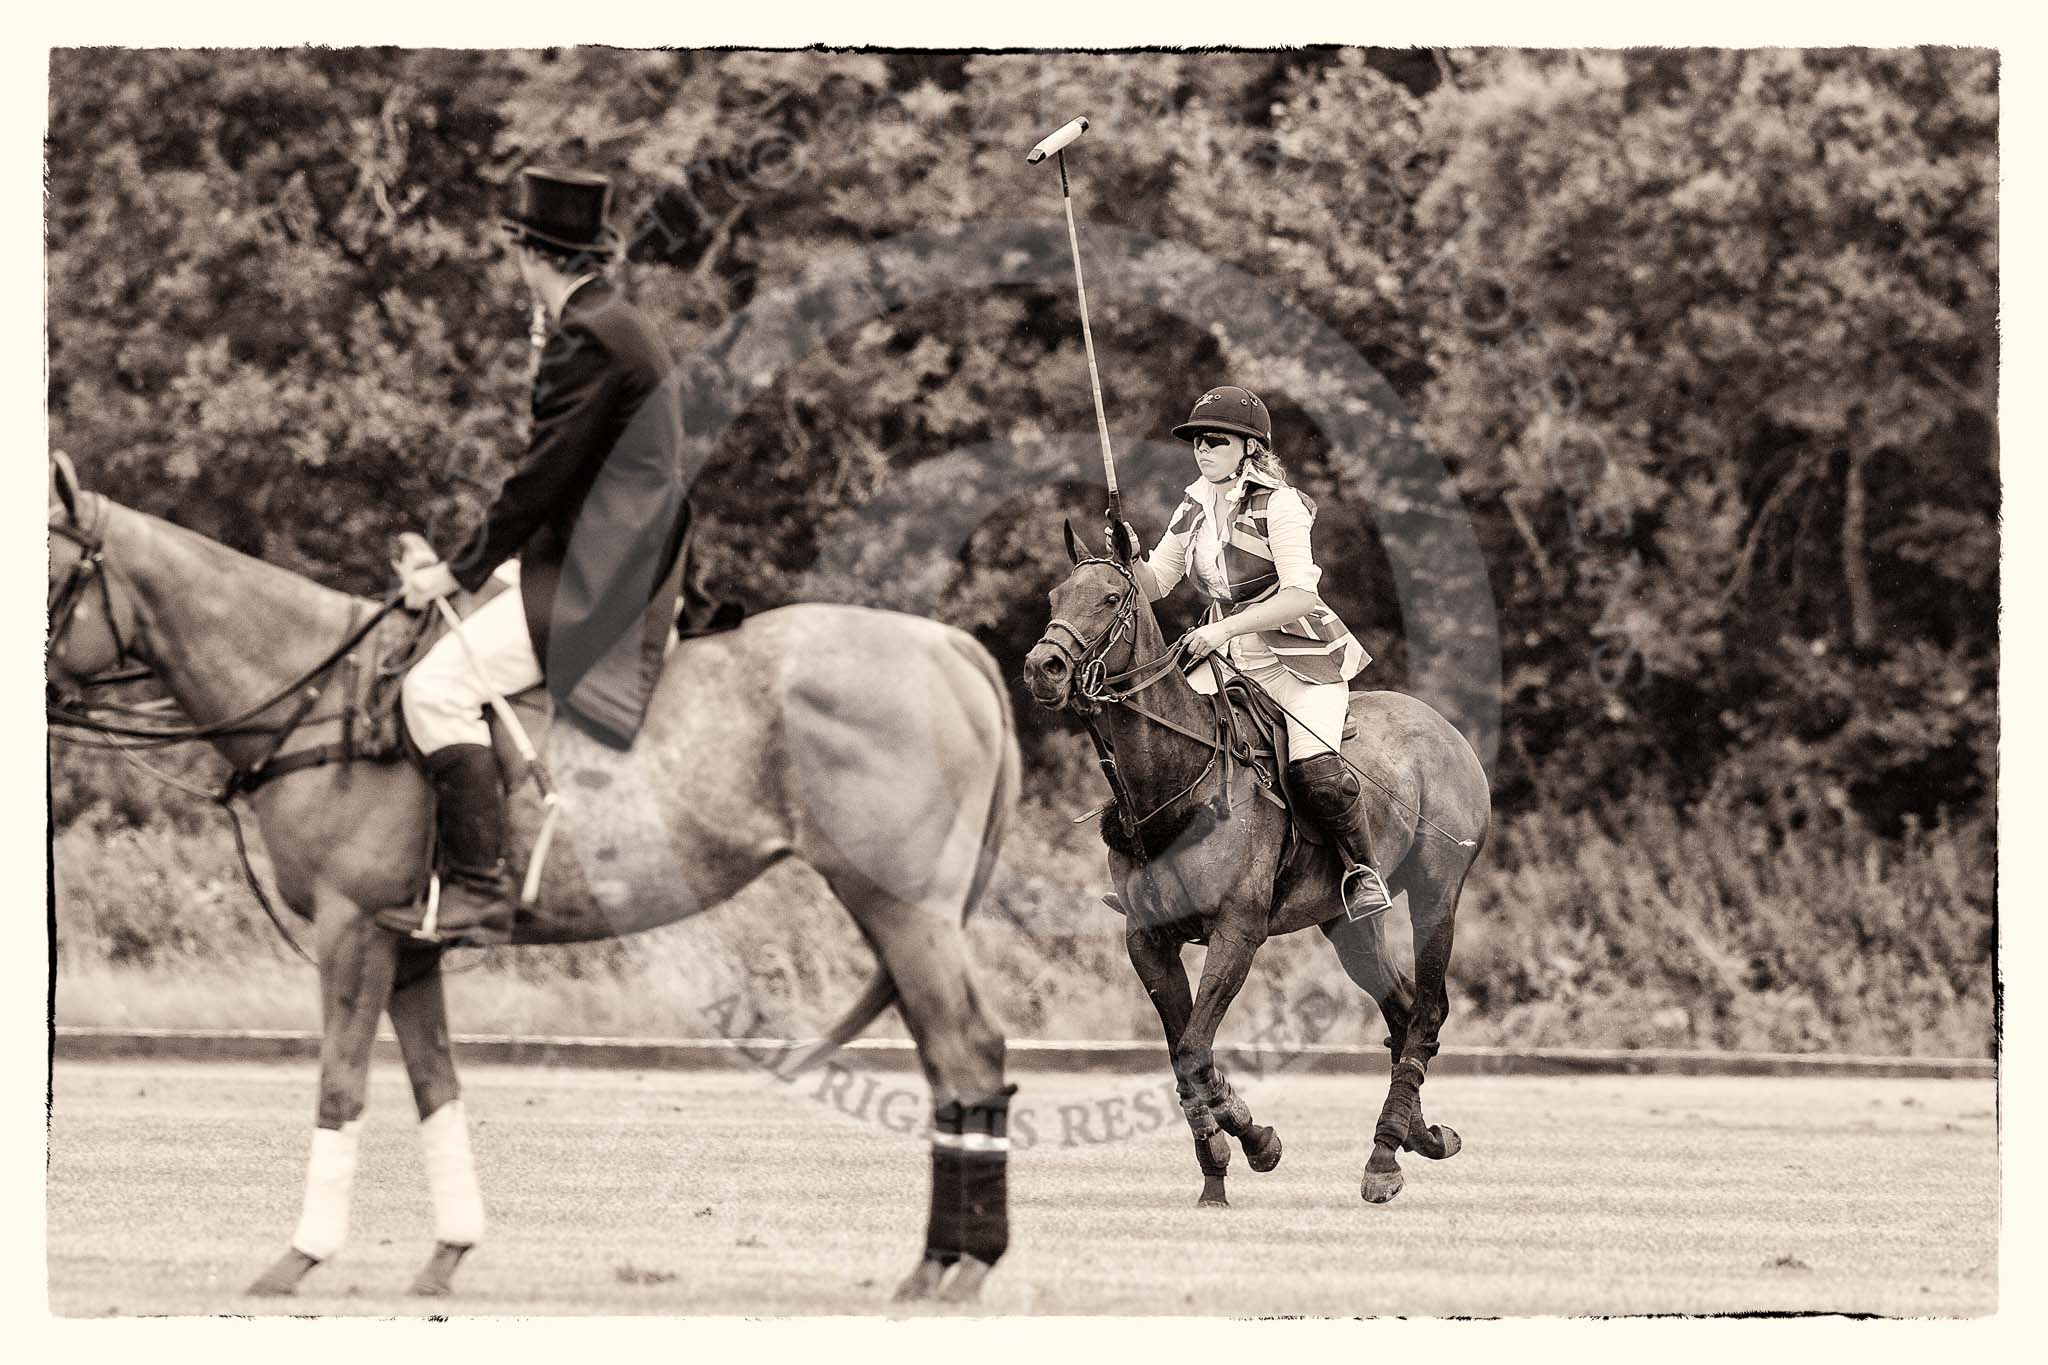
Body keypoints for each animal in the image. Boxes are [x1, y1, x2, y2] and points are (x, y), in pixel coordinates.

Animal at [39, 454, 1015, 1309]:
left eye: (46, 572)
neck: (319, 699)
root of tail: (955, 649)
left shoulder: (351, 928)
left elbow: (340, 1085)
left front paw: (296, 1259)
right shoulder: (409, 945)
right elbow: (435, 1086)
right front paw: (446, 1254)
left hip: (901, 904)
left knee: (969, 1051)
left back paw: (961, 1268)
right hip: (902, 913)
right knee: (947, 1060)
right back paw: (938, 1265)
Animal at [1024, 532, 1490, 1203]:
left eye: (1111, 597)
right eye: (1055, 595)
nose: (1044, 668)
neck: (1177, 781)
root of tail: (1447, 729)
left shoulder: (1237, 930)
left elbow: (1194, 1049)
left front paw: (1244, 1145)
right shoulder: (1147, 938)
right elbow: (1184, 1051)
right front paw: (1227, 1159)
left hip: (1437, 895)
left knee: (1426, 1009)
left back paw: (1385, 1157)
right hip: (1346, 925)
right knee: (1401, 1009)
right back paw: (1411, 1140)